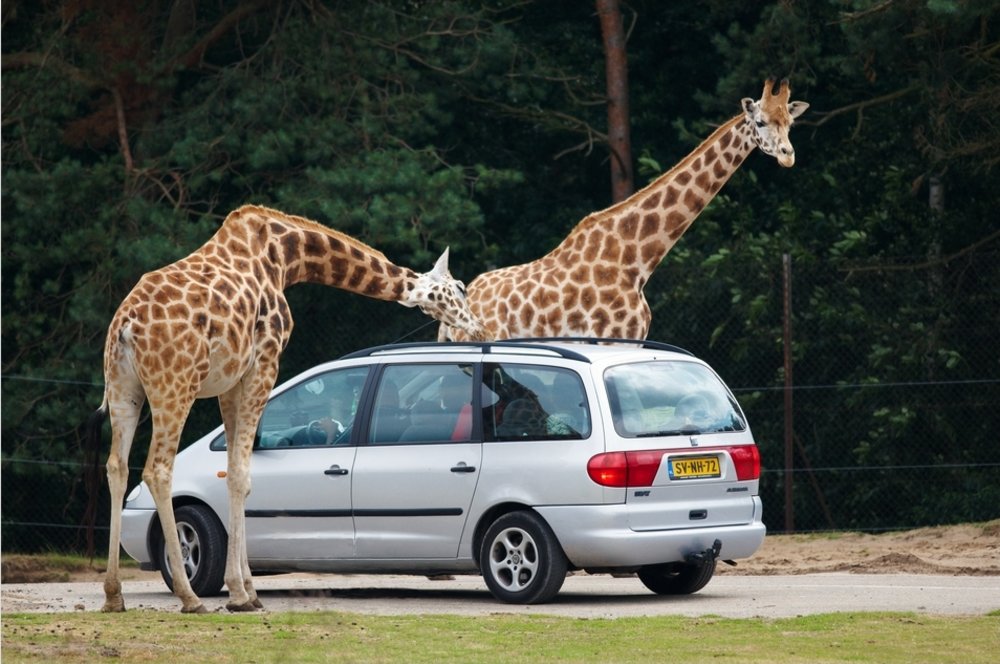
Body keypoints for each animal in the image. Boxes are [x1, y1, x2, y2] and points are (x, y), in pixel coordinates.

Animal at [88, 204, 488, 614]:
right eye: (460, 289)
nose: (479, 330)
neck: (286, 255)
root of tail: (125, 327)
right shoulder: (264, 363)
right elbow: (241, 476)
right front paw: (242, 593)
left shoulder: (231, 381)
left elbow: (233, 473)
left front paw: (246, 590)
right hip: (175, 384)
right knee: (157, 470)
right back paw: (190, 597)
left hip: (124, 388)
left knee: (117, 467)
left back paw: (114, 595)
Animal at [440, 78, 808, 342]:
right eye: (760, 122)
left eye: (789, 122)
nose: (788, 155)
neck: (636, 260)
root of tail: (467, 296)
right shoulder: (610, 337)